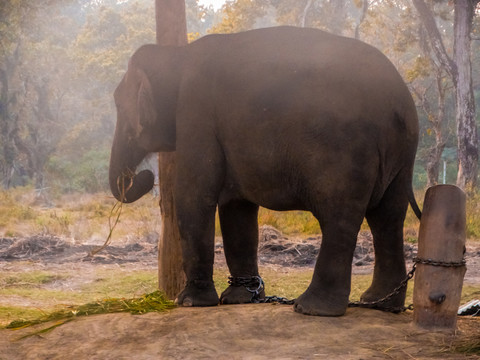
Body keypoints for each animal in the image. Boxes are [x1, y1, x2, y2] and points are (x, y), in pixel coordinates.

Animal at [109, 26, 420, 316]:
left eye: (120, 107)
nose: (145, 177)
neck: (178, 54)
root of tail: (399, 100)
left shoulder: (196, 113)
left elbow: (194, 196)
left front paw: (188, 302)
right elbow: (236, 207)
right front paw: (240, 299)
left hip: (346, 151)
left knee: (339, 217)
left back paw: (312, 309)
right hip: (402, 157)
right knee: (387, 218)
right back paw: (379, 304)